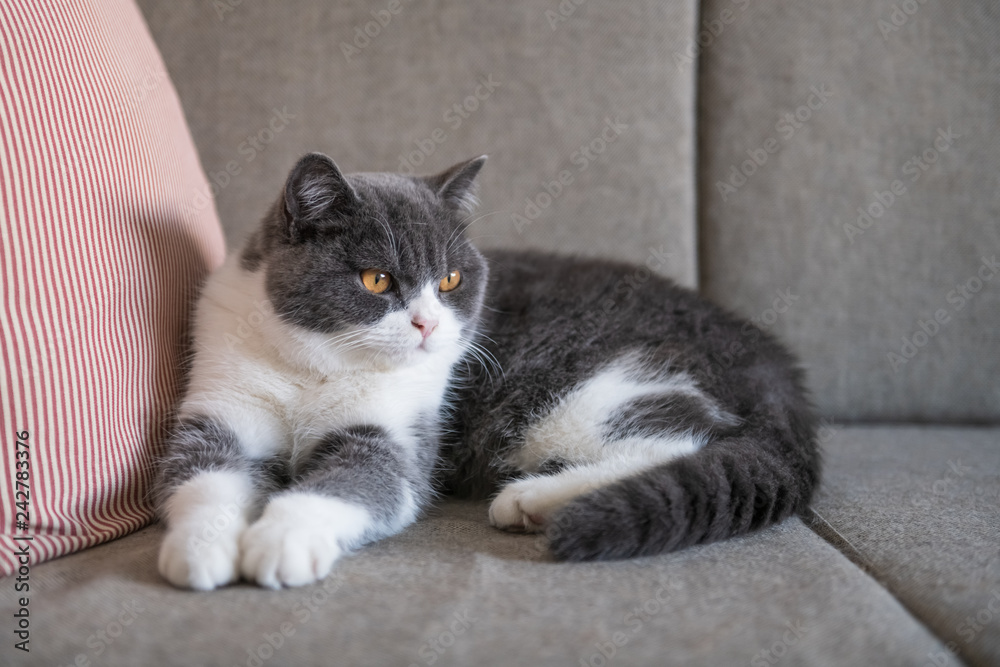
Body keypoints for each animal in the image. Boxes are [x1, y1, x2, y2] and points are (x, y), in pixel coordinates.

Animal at [152, 153, 816, 588]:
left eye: (449, 280)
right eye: (376, 280)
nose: (427, 325)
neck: (314, 368)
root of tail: (770, 361)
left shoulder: (397, 431)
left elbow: (359, 479)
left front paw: (281, 540)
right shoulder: (220, 403)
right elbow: (201, 476)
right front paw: (201, 550)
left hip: (597, 382)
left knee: (687, 434)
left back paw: (531, 497)